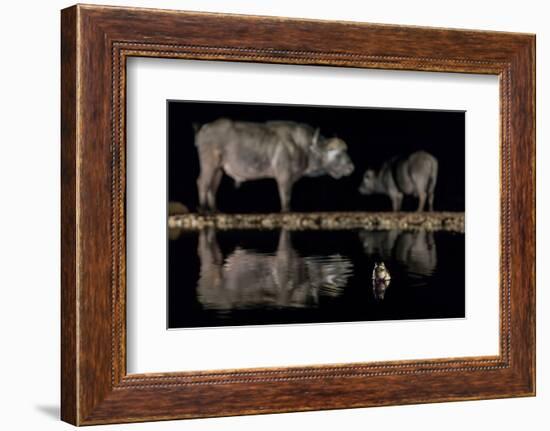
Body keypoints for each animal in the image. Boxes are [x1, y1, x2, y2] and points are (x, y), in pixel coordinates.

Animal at [196, 118, 356, 213]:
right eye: (337, 154)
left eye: (346, 151)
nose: (351, 168)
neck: (303, 147)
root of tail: (204, 129)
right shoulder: (284, 177)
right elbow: (286, 197)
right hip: (209, 164)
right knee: (203, 182)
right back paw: (203, 209)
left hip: (218, 168)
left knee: (212, 186)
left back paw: (215, 211)